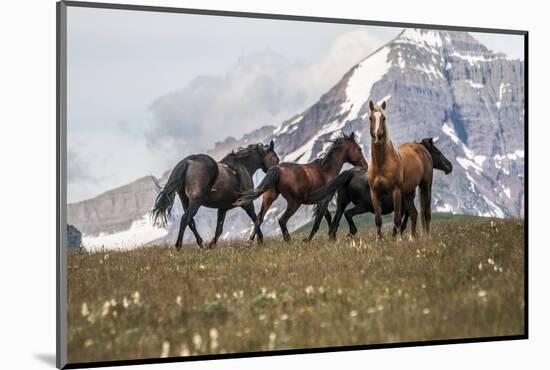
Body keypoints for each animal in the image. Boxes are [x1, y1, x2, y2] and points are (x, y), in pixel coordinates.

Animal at [151, 140, 280, 250]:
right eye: (275, 157)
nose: (276, 170)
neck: (242, 166)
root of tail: (188, 162)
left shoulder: (222, 208)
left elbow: (219, 229)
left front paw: (211, 245)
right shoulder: (247, 203)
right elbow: (256, 218)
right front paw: (259, 240)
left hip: (185, 200)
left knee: (191, 222)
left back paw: (201, 244)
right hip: (196, 201)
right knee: (185, 219)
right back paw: (178, 245)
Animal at [235, 133, 368, 243]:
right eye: (359, 148)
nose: (365, 165)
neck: (326, 170)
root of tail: (278, 169)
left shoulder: (321, 201)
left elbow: (327, 217)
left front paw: (332, 237)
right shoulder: (324, 200)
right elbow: (318, 220)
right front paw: (309, 240)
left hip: (269, 198)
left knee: (259, 218)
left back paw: (253, 241)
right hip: (294, 203)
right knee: (282, 220)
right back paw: (289, 241)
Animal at [308, 138, 454, 240]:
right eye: (438, 152)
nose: (449, 166)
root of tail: (351, 172)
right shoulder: (402, 206)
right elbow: (403, 220)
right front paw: (397, 235)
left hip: (342, 202)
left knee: (335, 223)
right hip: (364, 206)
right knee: (348, 214)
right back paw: (352, 233)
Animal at [366, 101, 436, 240]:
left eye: (384, 118)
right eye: (371, 118)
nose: (378, 137)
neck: (381, 165)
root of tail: (422, 149)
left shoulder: (396, 191)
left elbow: (397, 217)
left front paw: (398, 240)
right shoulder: (374, 193)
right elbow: (378, 219)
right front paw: (378, 240)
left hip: (426, 185)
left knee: (427, 212)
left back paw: (428, 237)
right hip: (408, 193)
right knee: (414, 213)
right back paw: (411, 239)